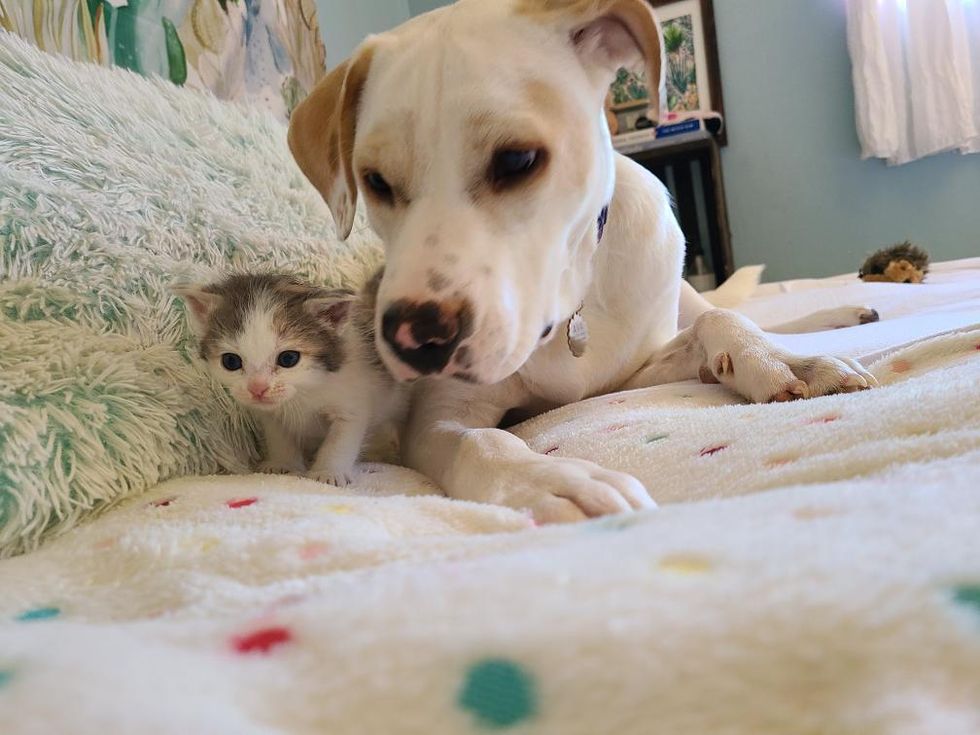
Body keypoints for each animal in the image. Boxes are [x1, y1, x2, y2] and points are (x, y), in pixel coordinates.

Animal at [172, 274, 406, 486]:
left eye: (288, 359)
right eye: (230, 361)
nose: (257, 388)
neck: (305, 392)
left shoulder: (352, 401)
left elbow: (340, 440)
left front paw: (328, 472)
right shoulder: (271, 414)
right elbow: (279, 437)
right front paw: (282, 465)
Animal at [288, 0, 876, 524]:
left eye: (518, 160)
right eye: (375, 182)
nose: (416, 338)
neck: (571, 313)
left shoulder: (630, 371)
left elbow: (722, 319)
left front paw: (784, 361)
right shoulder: (440, 416)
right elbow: (482, 442)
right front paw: (552, 481)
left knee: (728, 308)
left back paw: (836, 317)